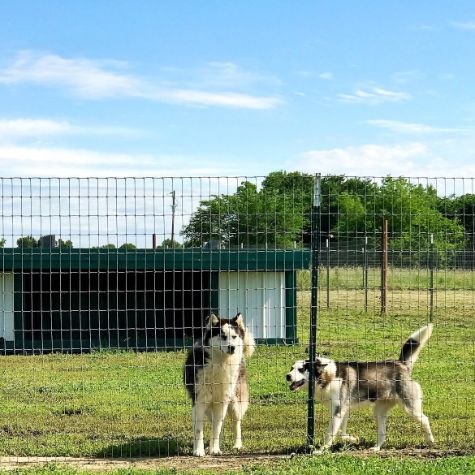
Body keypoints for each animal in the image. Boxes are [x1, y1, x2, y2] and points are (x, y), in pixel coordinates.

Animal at [184, 312, 255, 458]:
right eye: (222, 336)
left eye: (234, 337)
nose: (232, 347)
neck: (221, 362)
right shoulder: (199, 401)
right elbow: (199, 430)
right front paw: (198, 450)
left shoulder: (222, 402)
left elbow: (216, 429)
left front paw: (215, 449)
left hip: (235, 402)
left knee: (236, 423)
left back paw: (237, 445)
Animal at [286, 324, 436, 454]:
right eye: (291, 368)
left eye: (301, 369)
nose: (287, 376)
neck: (328, 376)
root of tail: (401, 364)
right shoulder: (342, 411)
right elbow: (341, 433)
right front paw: (353, 439)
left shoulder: (338, 412)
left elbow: (330, 434)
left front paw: (321, 450)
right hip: (378, 412)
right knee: (382, 433)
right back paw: (376, 448)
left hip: (410, 408)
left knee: (425, 419)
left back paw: (430, 441)